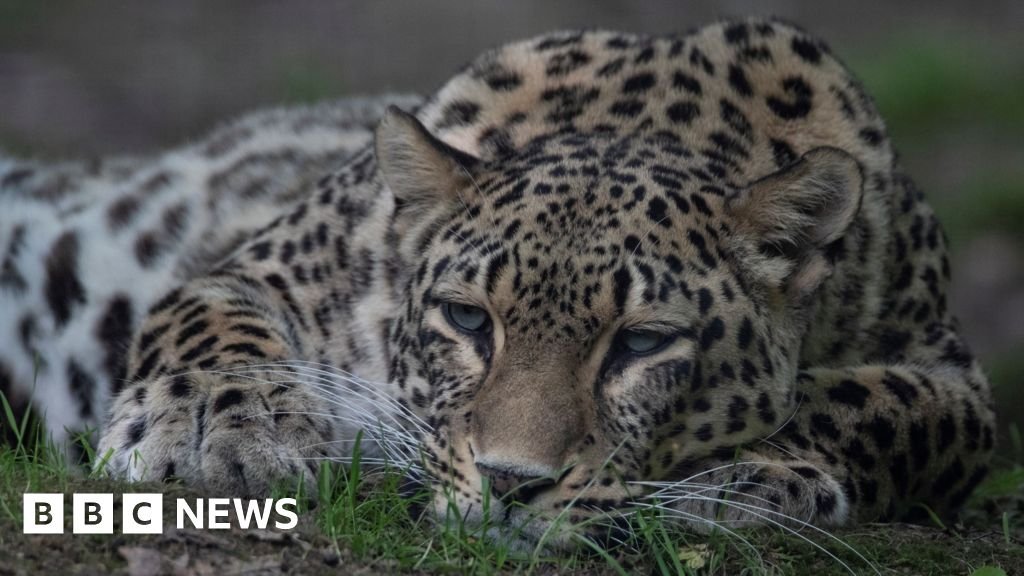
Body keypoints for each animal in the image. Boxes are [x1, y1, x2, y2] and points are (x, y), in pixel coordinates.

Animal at [1, 18, 995, 549]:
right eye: (466, 320)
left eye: (642, 342)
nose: (511, 485)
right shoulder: (264, 266)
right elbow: (208, 333)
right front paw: (217, 432)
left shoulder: (952, 374)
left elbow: (881, 405)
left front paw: (751, 475)